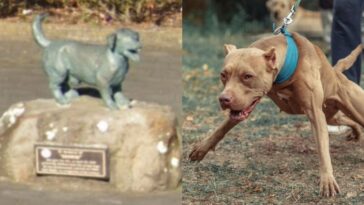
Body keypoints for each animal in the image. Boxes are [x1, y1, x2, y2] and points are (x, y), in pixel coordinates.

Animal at [189, 32, 362, 197]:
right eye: (223, 75)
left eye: (247, 76)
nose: (224, 99)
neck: (285, 72)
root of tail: (335, 72)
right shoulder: (242, 106)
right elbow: (222, 127)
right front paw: (202, 148)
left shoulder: (315, 115)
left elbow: (322, 149)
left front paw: (327, 180)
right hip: (331, 115)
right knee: (346, 120)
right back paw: (356, 132)